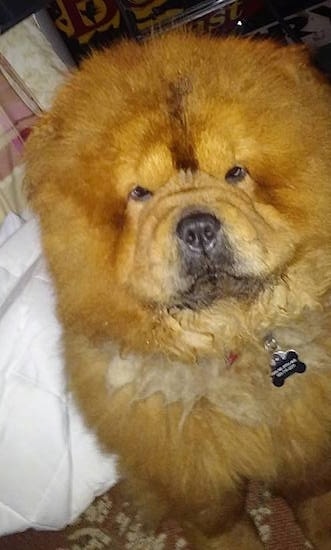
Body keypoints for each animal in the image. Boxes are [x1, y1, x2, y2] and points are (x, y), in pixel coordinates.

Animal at [26, 32, 331, 548]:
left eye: (235, 173)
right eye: (140, 193)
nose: (198, 226)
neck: (228, 342)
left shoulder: (305, 437)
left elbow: (314, 492)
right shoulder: (192, 475)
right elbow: (222, 524)